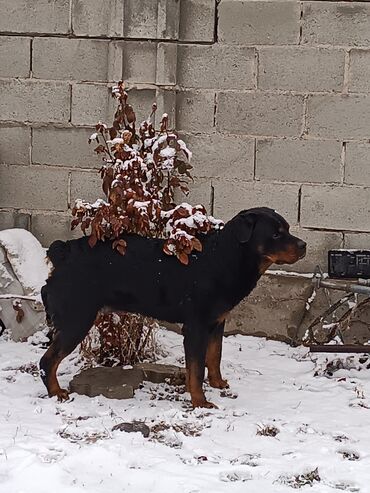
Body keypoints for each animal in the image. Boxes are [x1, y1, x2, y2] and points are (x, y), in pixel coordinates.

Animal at [39, 206, 306, 406]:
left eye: (287, 229)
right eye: (276, 235)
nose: (303, 245)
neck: (225, 259)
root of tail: (63, 253)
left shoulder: (217, 322)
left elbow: (214, 356)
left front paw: (218, 384)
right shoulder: (196, 326)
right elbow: (196, 369)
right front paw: (200, 402)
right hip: (77, 320)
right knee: (47, 361)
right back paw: (56, 393)